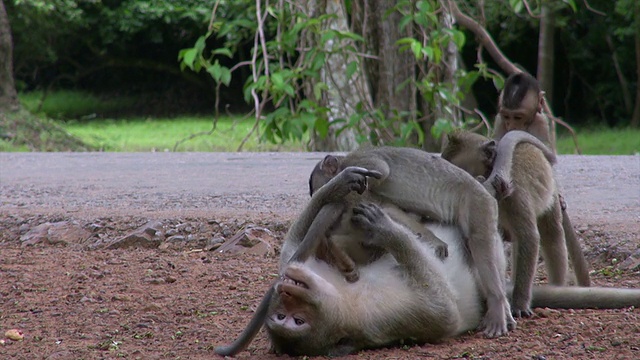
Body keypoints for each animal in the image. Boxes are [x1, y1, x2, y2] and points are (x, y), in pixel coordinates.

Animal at [444, 130, 592, 318]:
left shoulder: (515, 194)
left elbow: (529, 237)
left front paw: (520, 303)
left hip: (549, 193)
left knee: (551, 235)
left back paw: (556, 288)